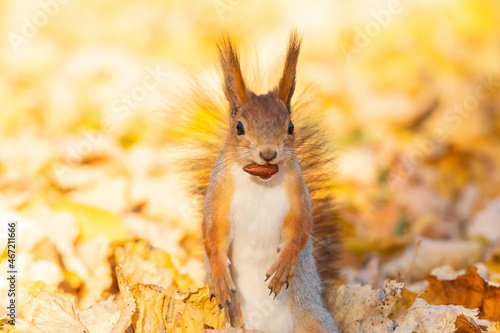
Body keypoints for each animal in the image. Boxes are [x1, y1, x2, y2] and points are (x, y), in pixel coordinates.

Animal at [164, 29, 340, 332]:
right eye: (239, 127)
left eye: (290, 127)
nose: (268, 153)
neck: (261, 180)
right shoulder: (219, 192)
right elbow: (212, 231)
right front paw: (220, 276)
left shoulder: (297, 191)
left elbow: (301, 226)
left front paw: (284, 264)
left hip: (312, 320)